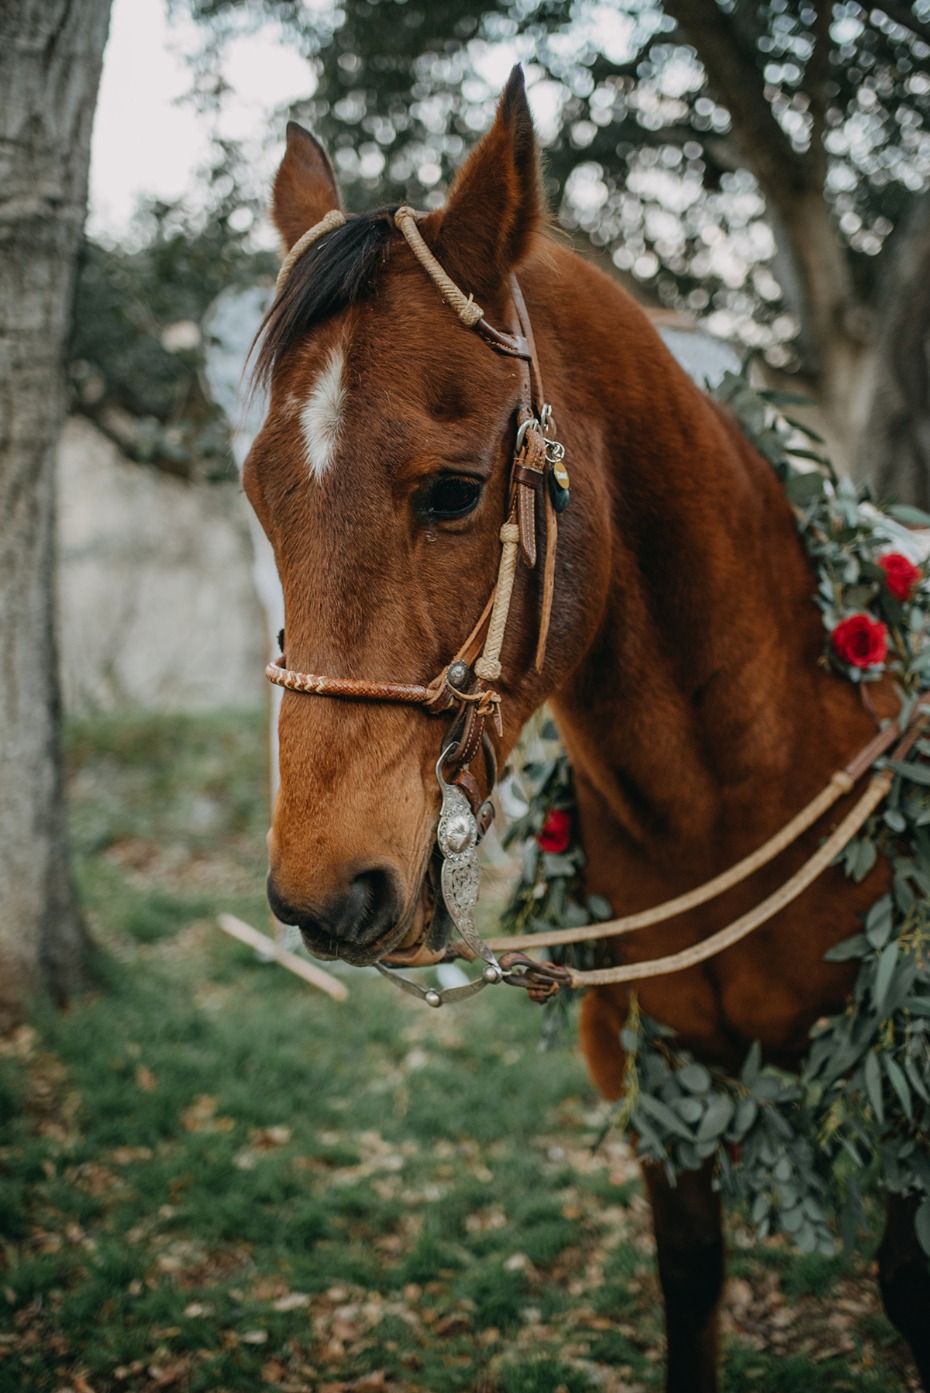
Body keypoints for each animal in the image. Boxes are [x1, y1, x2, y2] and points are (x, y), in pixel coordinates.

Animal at [242, 67, 930, 1392]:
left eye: (456, 491)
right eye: (258, 490)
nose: (322, 891)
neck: (732, 788)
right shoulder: (667, 1101)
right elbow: (691, 1286)